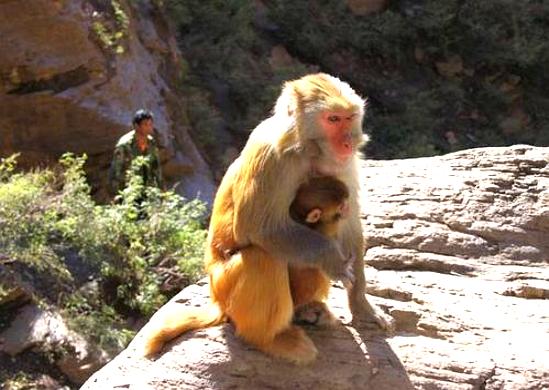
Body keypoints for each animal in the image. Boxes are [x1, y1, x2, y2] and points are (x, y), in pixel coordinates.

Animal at [141, 73, 390, 362]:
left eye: (349, 118)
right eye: (332, 119)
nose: (348, 142)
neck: (307, 150)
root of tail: (215, 301)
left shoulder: (344, 163)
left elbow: (349, 228)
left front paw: (362, 307)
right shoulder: (270, 157)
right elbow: (258, 228)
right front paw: (331, 258)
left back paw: (305, 309)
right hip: (226, 289)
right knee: (263, 257)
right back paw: (270, 339)